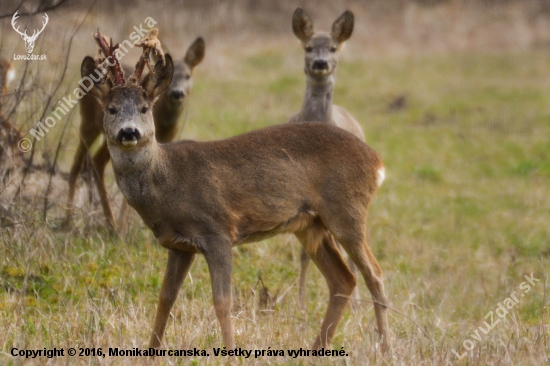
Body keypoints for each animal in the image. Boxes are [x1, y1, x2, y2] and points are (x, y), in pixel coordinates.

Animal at [64, 35, 206, 227]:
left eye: (187, 76)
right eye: (174, 77)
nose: (177, 93)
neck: (163, 125)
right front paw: (125, 226)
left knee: (92, 163)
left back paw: (99, 220)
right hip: (88, 122)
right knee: (77, 165)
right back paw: (70, 221)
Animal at [84, 29, 390, 352]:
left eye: (145, 109)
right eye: (111, 109)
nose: (129, 132)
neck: (169, 182)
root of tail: (377, 162)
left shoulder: (217, 232)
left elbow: (222, 302)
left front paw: (230, 352)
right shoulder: (180, 245)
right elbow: (165, 299)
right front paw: (150, 353)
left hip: (346, 212)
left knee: (374, 274)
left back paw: (384, 347)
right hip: (310, 224)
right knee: (343, 280)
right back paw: (316, 349)